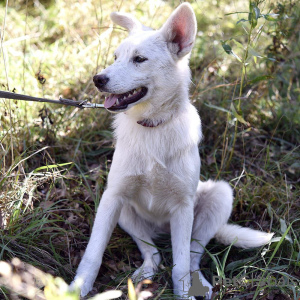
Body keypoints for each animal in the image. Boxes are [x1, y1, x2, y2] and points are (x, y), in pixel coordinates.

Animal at [71, 3, 274, 298]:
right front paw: (77, 287)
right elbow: (92, 254)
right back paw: (144, 274)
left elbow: (180, 266)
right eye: (116, 57)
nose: (98, 79)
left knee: (192, 256)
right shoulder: (112, 197)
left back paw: (200, 284)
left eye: (139, 59)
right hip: (124, 212)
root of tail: (162, 231)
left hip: (218, 198)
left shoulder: (182, 207)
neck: (152, 127)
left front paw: (184, 292)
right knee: (153, 253)